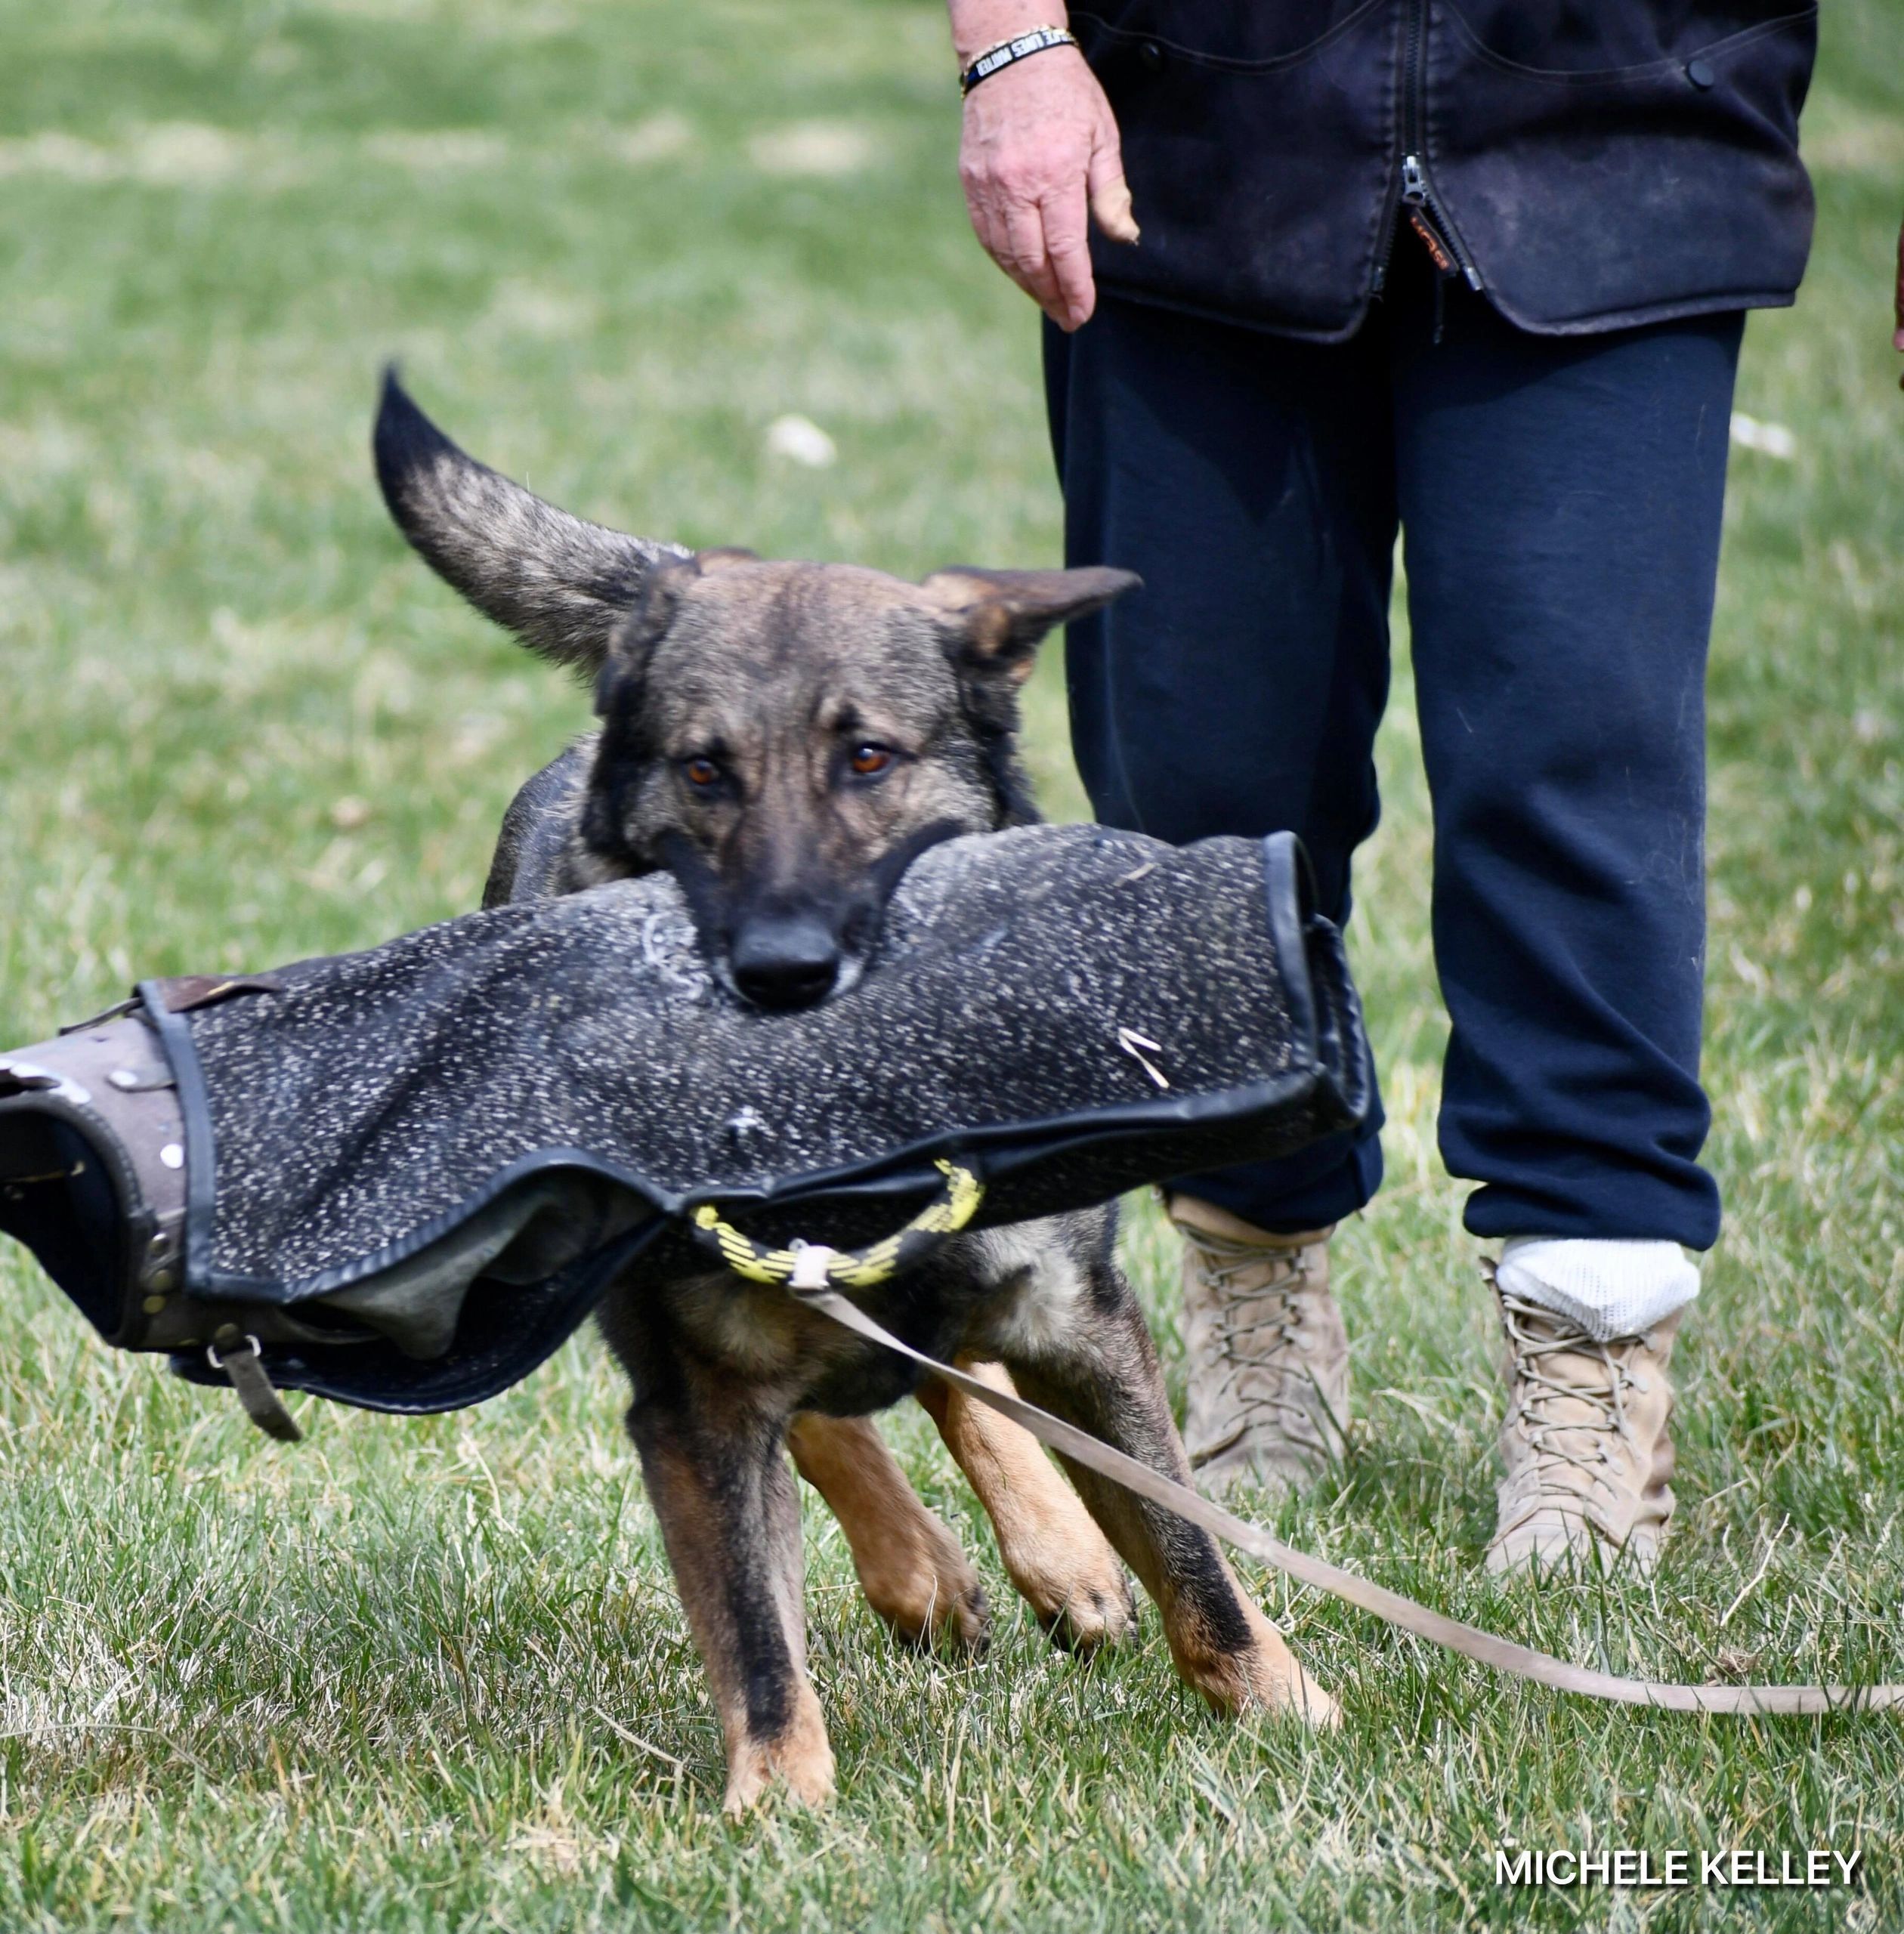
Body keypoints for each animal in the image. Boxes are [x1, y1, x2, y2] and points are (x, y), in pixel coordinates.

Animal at [367, 377, 1323, 1810]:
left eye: (868, 759)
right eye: (704, 771)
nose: (781, 967)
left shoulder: (1084, 1323)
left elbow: (1189, 1548)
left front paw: (1283, 1709)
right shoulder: (691, 1398)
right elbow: (757, 1635)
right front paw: (780, 1806)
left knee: (951, 1367)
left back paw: (1057, 1557)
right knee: (833, 1417)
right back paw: (928, 1569)